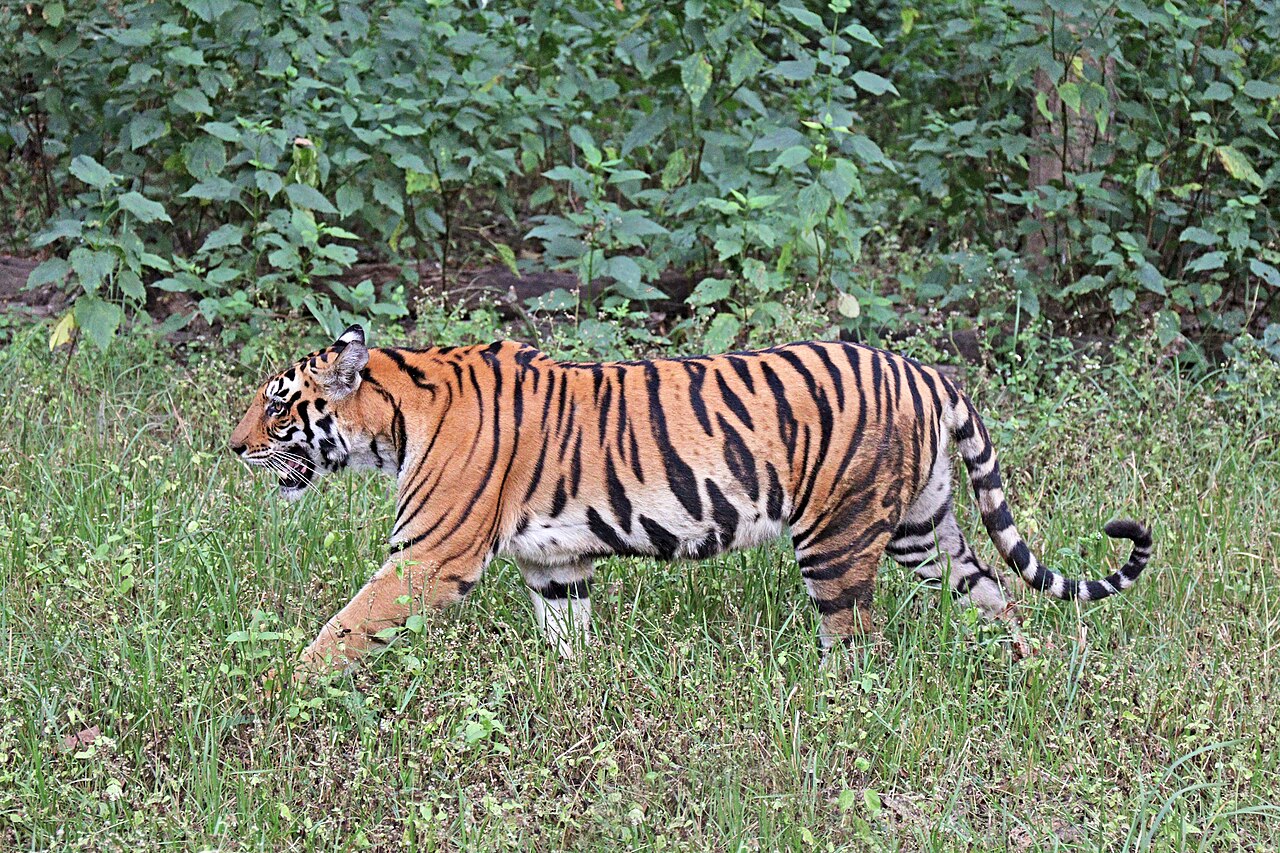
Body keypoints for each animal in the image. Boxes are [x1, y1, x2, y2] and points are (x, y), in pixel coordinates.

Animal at [229, 325, 1151, 674]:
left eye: (277, 404)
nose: (232, 446)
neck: (395, 418)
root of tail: (925, 368)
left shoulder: (429, 557)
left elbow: (345, 625)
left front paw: (283, 686)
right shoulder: (554, 564)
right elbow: (569, 640)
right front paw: (576, 697)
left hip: (838, 537)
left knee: (857, 643)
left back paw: (835, 711)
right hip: (924, 528)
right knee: (992, 594)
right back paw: (1026, 673)